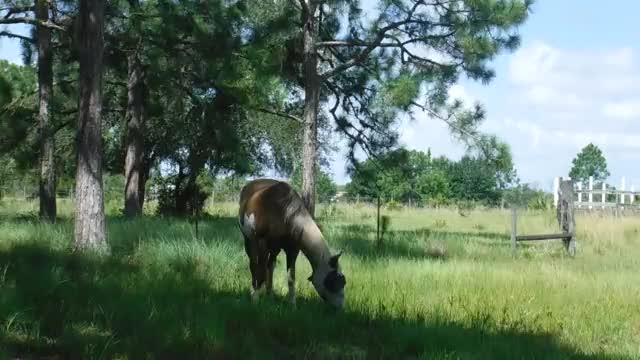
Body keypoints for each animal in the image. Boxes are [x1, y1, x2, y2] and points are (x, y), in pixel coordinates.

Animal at [239, 179, 348, 308]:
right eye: (333, 280)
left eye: (343, 281)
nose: (340, 308)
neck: (283, 210)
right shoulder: (261, 244)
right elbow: (259, 271)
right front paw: (255, 300)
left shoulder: (292, 250)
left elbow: (291, 278)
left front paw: (292, 305)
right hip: (249, 241)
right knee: (254, 265)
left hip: (274, 248)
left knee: (270, 266)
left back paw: (270, 295)